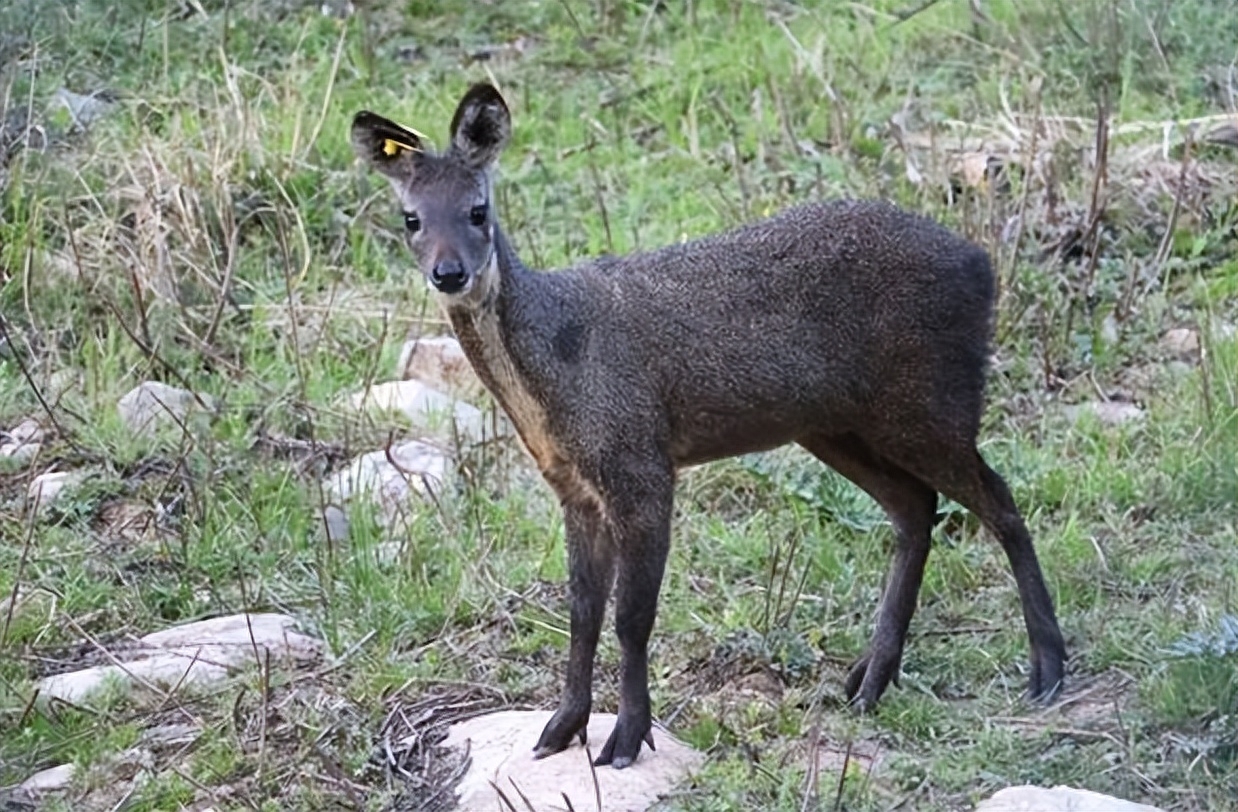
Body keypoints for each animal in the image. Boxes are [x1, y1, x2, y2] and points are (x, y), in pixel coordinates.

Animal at [354, 85, 1069, 772]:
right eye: (411, 218)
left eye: (479, 210)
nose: (449, 273)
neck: (560, 363)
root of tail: (983, 265)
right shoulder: (574, 486)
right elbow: (582, 612)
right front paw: (561, 729)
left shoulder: (640, 462)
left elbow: (631, 617)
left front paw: (627, 739)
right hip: (837, 424)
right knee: (917, 507)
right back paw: (869, 681)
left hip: (929, 400)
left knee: (999, 500)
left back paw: (1047, 669)